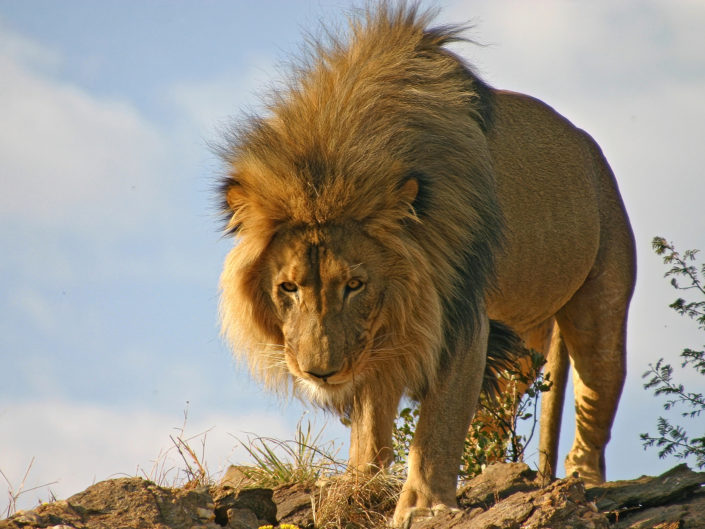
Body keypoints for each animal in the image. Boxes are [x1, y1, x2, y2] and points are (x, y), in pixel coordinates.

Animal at [217, 3, 636, 526]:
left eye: (354, 284)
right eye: (288, 288)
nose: (321, 374)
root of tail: (588, 147)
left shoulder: (461, 315)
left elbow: (439, 424)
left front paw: (423, 506)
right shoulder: (376, 342)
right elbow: (371, 423)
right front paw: (356, 484)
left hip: (602, 304)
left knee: (593, 405)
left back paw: (586, 481)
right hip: (524, 340)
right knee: (494, 416)